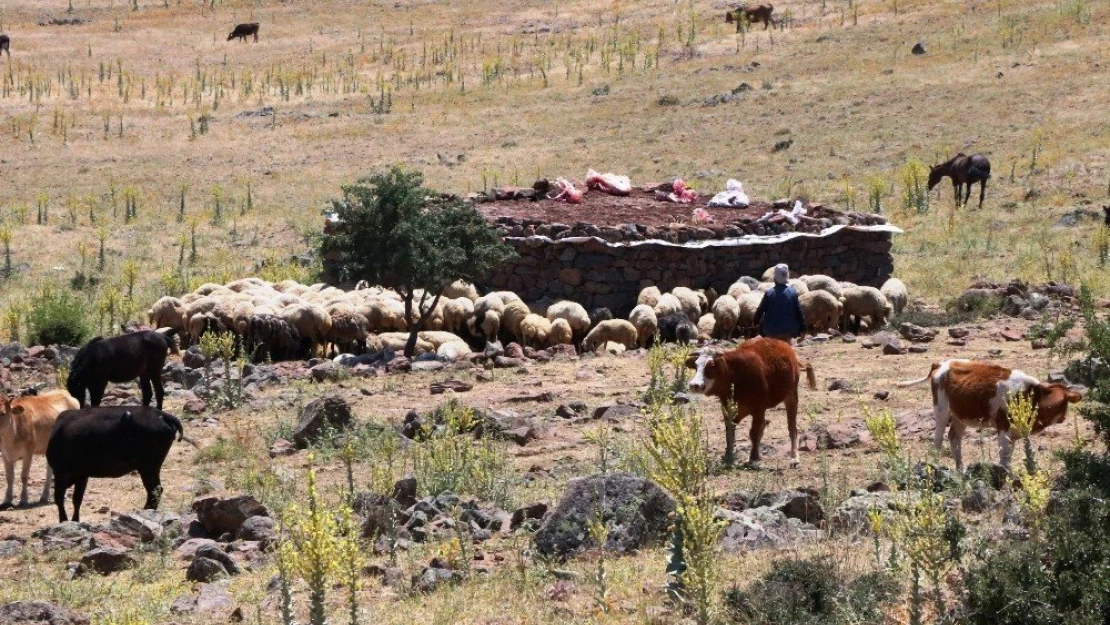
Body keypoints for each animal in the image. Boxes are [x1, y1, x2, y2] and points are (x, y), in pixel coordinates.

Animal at [46, 406, 186, 523]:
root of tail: (161, 414)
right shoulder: (81, 476)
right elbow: (77, 500)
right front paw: (75, 520)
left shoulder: (61, 473)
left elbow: (59, 498)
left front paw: (63, 520)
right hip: (151, 468)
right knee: (156, 490)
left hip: (148, 467)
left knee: (154, 490)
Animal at [683, 339, 816, 466]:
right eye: (696, 366)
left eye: (710, 366)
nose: (694, 385)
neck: (736, 375)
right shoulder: (727, 409)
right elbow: (729, 432)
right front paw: (729, 455)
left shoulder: (759, 409)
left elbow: (754, 433)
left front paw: (753, 458)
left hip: (791, 395)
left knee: (792, 427)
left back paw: (794, 458)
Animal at [896, 359, 1078, 472]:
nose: (1063, 418)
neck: (1032, 395)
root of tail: (943, 363)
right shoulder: (1003, 426)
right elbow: (1004, 454)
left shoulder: (1018, 430)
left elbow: (1020, 452)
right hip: (941, 411)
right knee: (938, 440)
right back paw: (935, 464)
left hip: (961, 415)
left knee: (954, 437)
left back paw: (960, 468)